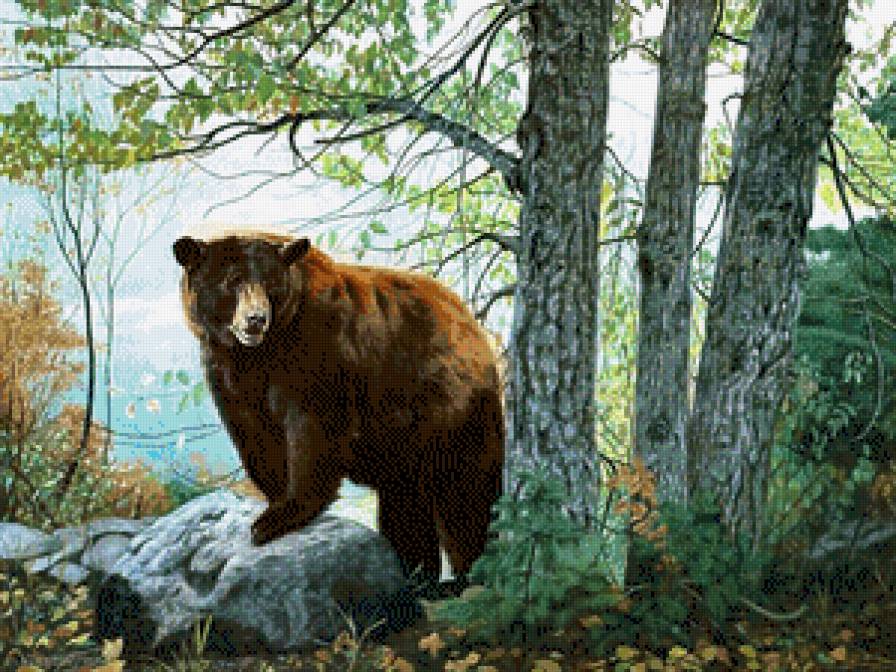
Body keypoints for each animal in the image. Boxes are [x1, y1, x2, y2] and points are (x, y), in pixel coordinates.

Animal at [173, 231, 505, 601]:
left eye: (270, 282)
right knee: (405, 506)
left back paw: (467, 577)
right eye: (232, 281)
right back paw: (417, 577)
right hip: (403, 443)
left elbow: (314, 427)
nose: (256, 319)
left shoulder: (320, 348)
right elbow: (254, 434)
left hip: (451, 409)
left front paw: (279, 517)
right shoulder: (228, 374)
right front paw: (274, 501)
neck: (260, 353)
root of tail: (474, 327)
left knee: (465, 496)